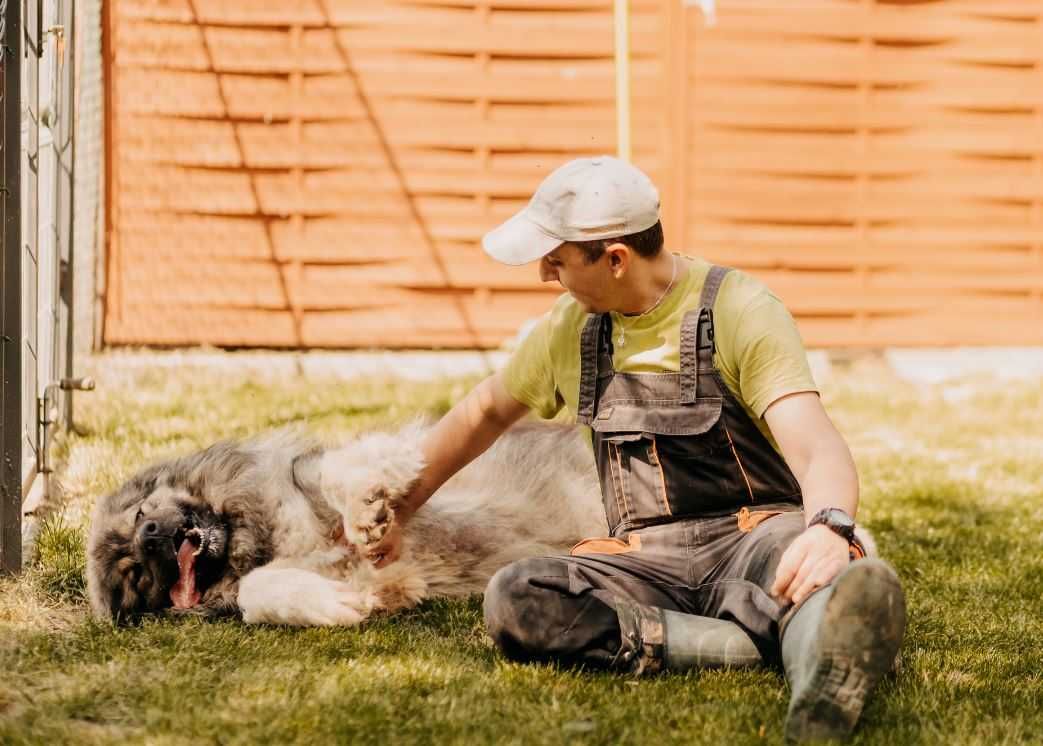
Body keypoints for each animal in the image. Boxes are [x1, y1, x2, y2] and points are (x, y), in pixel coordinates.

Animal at [89, 423, 609, 626]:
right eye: (135, 573)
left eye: (140, 515)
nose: (149, 536)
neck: (257, 541)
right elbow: (258, 591)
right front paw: (348, 599)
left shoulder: (311, 479)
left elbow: (342, 477)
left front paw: (365, 507)